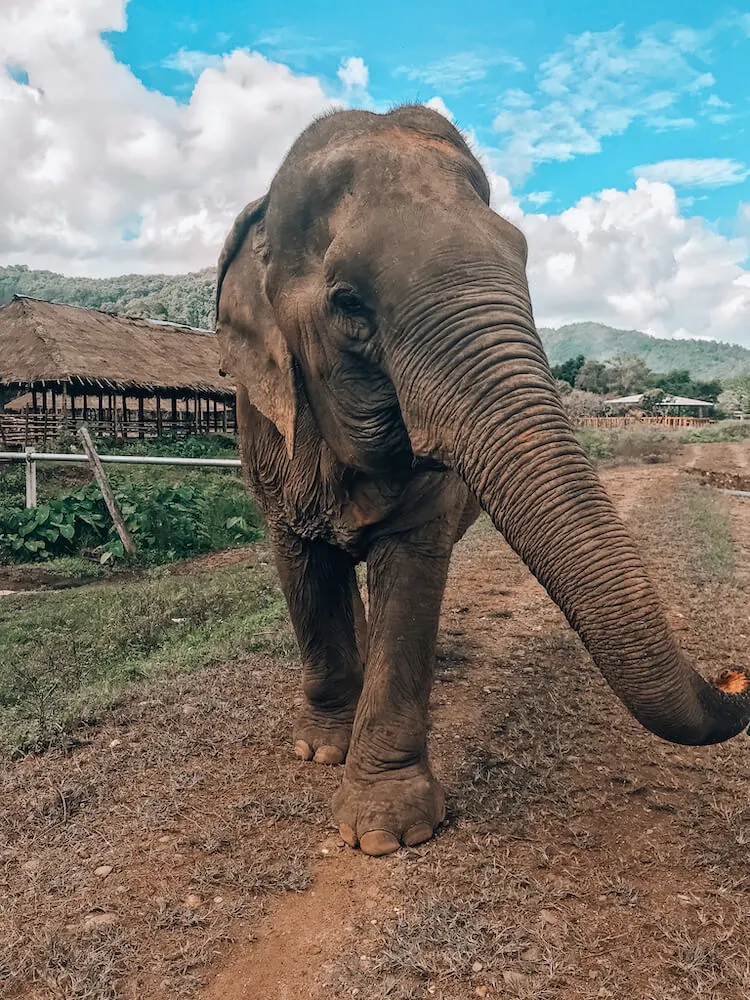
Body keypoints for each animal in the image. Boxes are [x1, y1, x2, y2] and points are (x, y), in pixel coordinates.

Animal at [213, 107, 750, 860]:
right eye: (348, 302)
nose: (736, 672)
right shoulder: (263, 427)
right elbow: (300, 563)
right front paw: (320, 753)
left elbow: (412, 565)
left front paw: (385, 832)